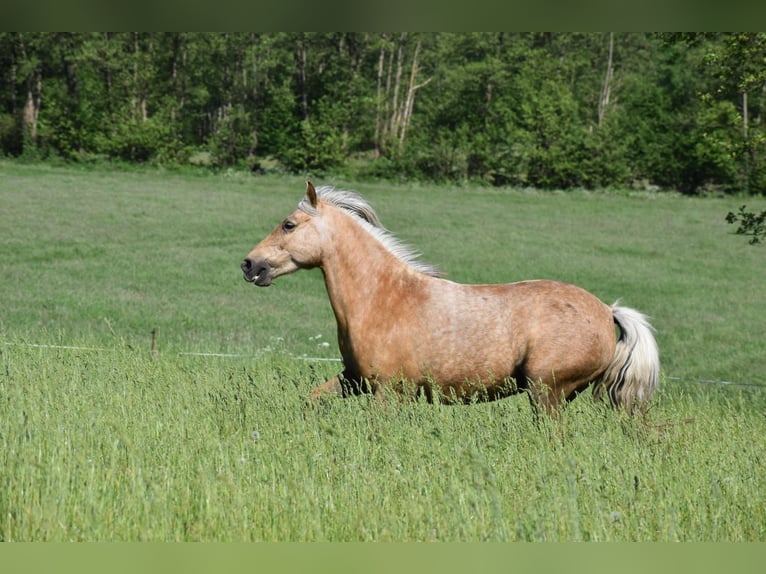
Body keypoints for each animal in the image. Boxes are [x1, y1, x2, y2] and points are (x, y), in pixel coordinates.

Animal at [243, 184, 664, 418]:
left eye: (289, 224)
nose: (249, 264)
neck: (382, 298)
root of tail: (607, 310)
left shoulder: (389, 392)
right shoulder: (355, 381)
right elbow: (311, 401)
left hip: (547, 392)